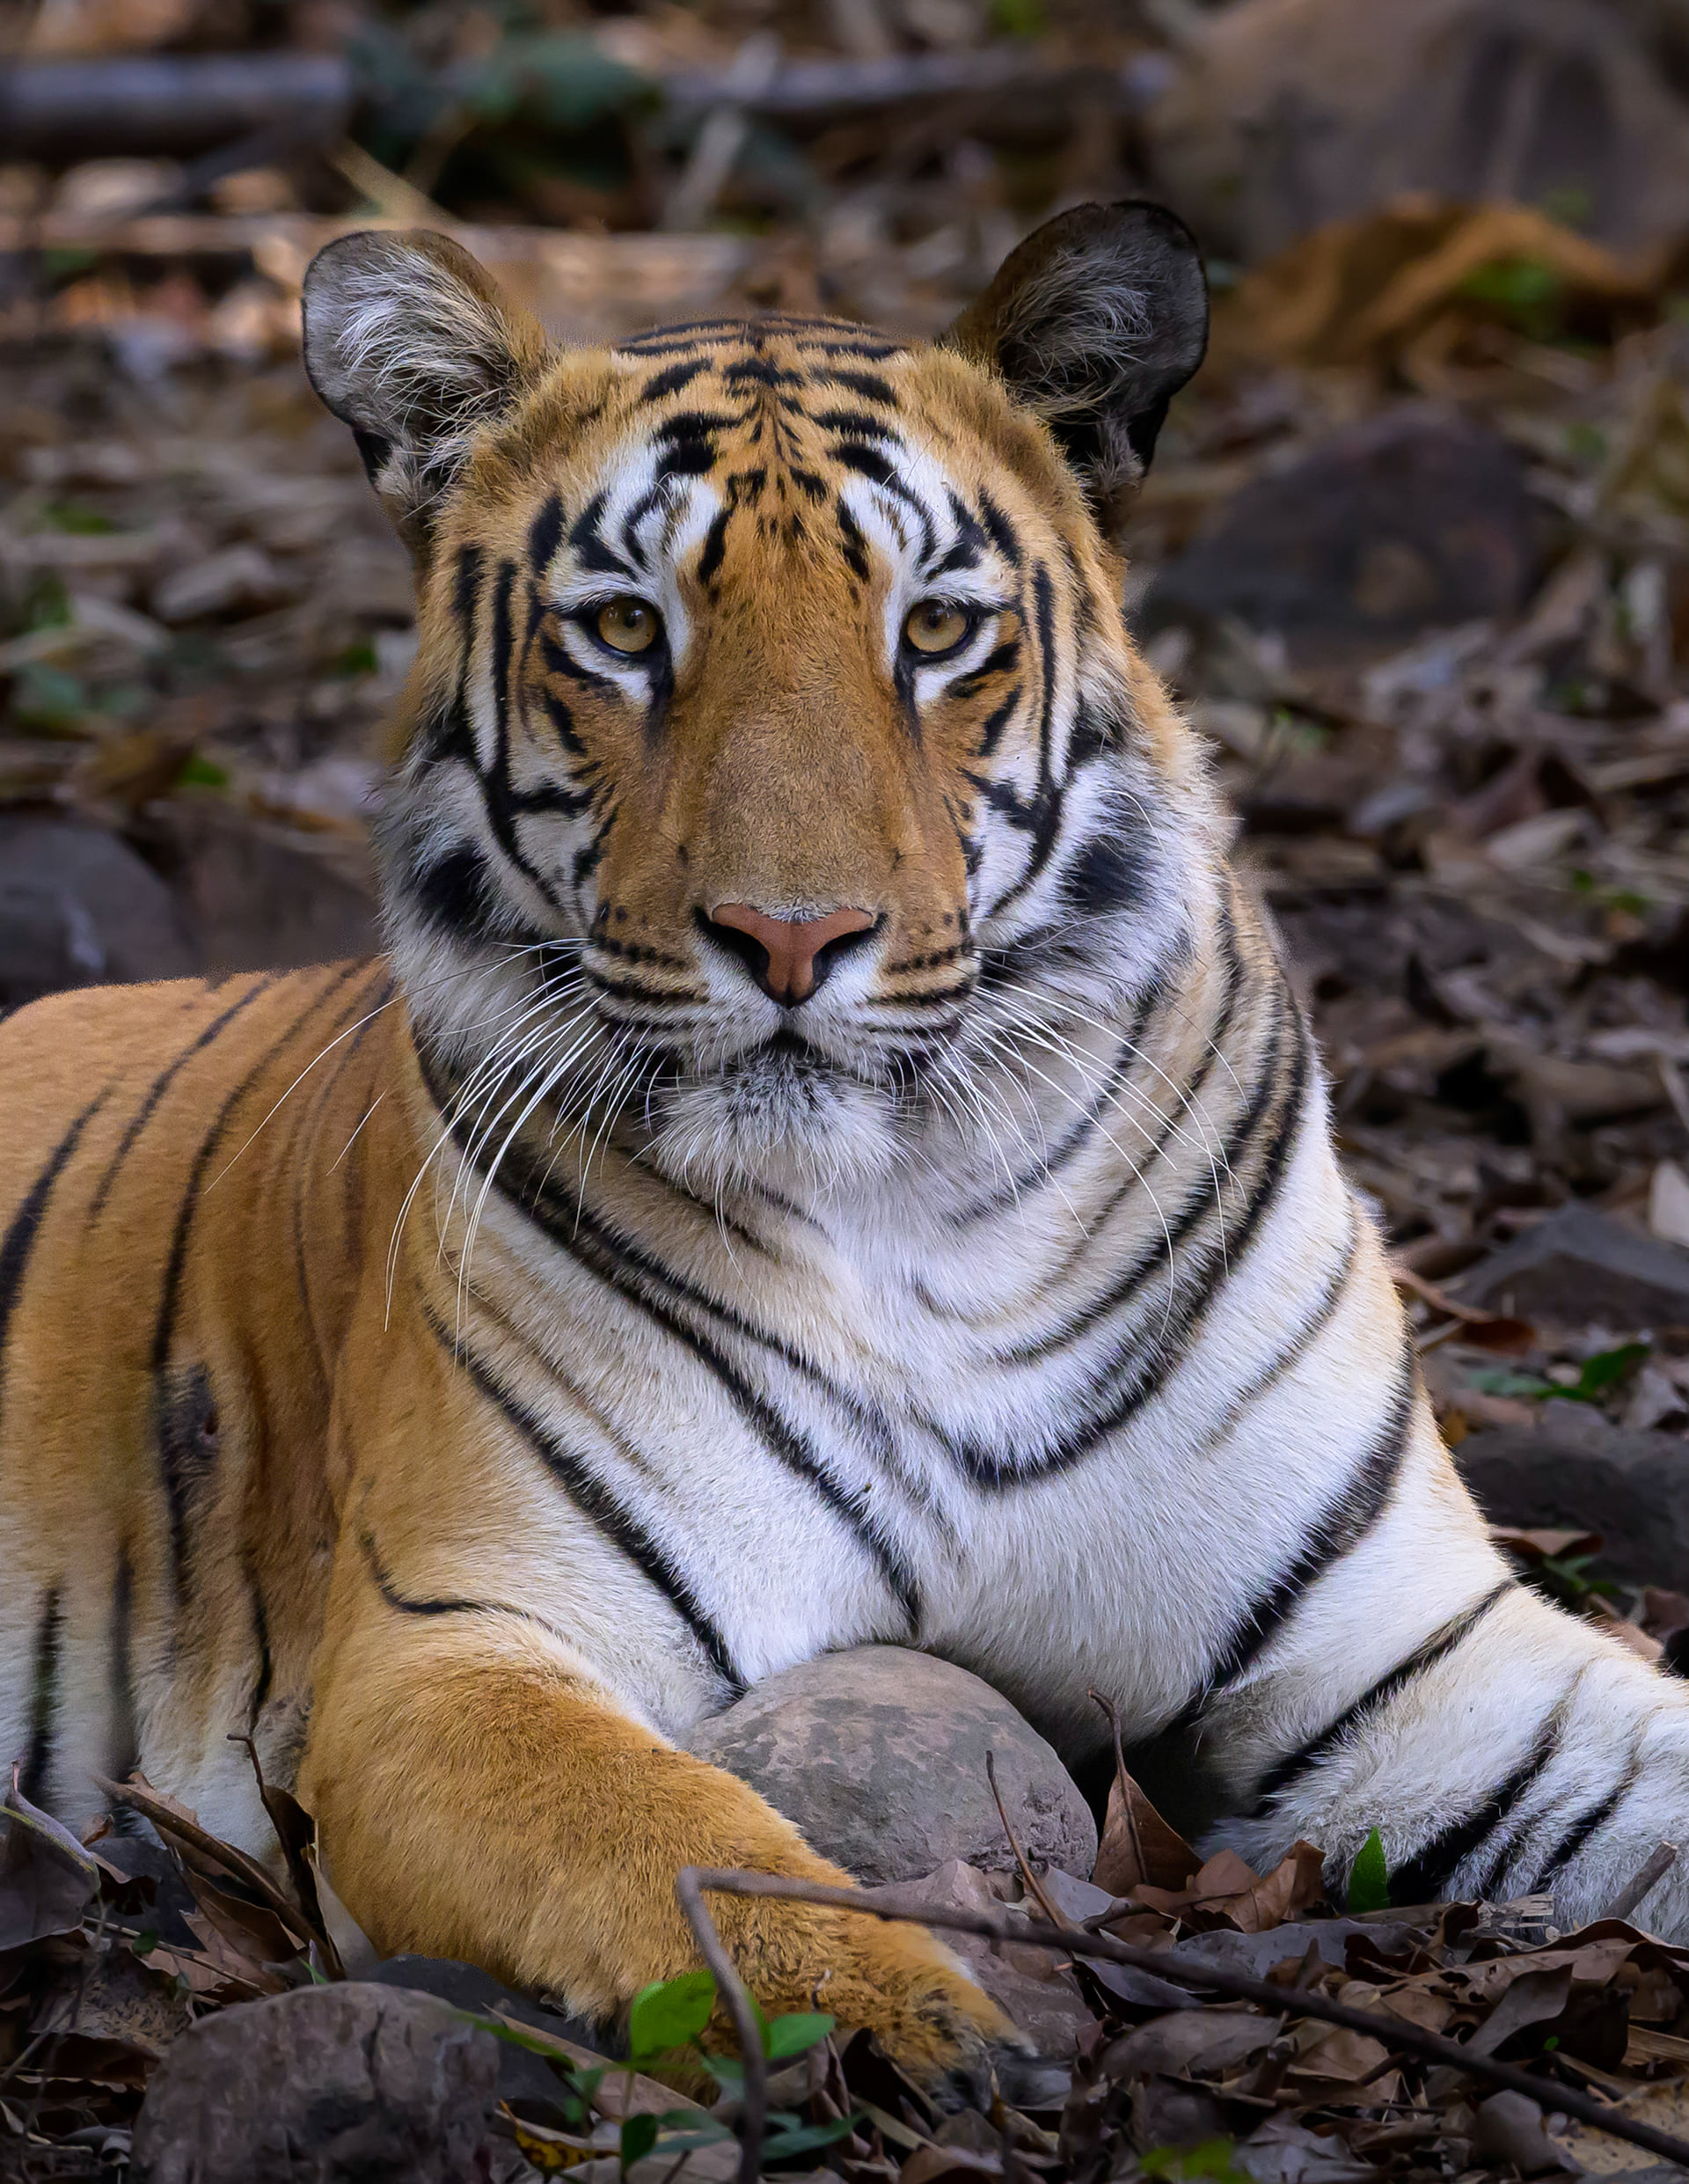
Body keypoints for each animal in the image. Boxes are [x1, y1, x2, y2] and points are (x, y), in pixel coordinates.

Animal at [4, 201, 1687, 2087]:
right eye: (624, 627)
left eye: (937, 627)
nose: (791, 937)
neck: (923, 1213)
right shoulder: (455, 1650)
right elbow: (674, 1842)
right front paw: (931, 2020)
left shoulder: (1399, 1650)